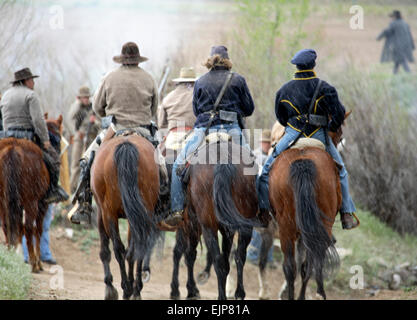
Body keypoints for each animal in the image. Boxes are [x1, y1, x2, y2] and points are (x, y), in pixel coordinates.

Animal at [0, 115, 62, 272]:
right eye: (58, 138)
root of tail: (13, 149)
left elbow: (18, 228)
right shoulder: (42, 205)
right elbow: (38, 230)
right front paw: (38, 261)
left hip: (4, 201)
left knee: (7, 225)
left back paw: (11, 256)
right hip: (31, 202)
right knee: (29, 228)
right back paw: (34, 264)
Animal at [91, 135, 159, 300]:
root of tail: (126, 145)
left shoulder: (101, 214)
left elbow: (105, 251)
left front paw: (110, 286)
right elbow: (131, 250)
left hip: (108, 213)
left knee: (118, 248)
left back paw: (126, 288)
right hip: (142, 212)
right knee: (136, 249)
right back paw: (135, 289)